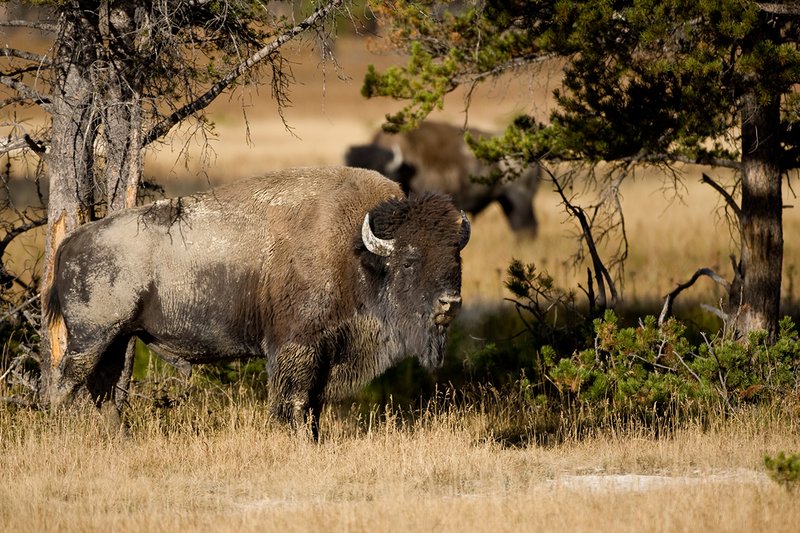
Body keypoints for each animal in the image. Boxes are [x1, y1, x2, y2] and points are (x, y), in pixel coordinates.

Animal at [44, 166, 470, 439]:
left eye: (456, 257)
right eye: (410, 260)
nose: (450, 303)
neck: (358, 253)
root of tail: (74, 239)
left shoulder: (326, 352)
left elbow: (314, 403)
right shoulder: (297, 347)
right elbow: (295, 400)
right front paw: (298, 441)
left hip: (117, 339)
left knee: (103, 390)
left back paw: (120, 440)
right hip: (92, 337)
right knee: (65, 384)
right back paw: (57, 435)